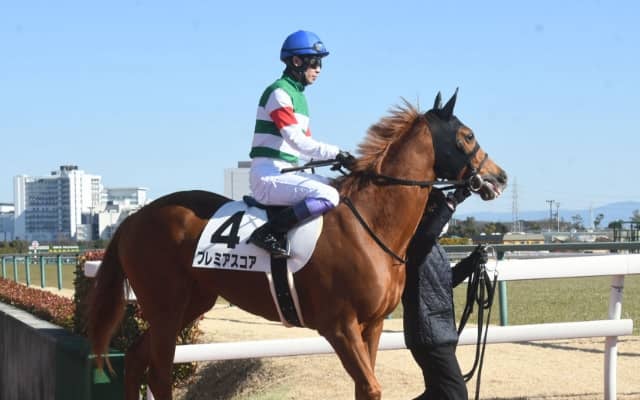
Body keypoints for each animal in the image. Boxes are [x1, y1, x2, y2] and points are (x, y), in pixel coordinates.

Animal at [88, 90, 507, 400]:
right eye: (468, 136)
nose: (499, 177)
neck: (371, 225)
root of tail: (132, 219)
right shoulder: (339, 326)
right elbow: (370, 387)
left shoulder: (371, 325)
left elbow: (365, 388)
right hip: (165, 305)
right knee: (158, 371)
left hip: (192, 302)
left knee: (137, 359)